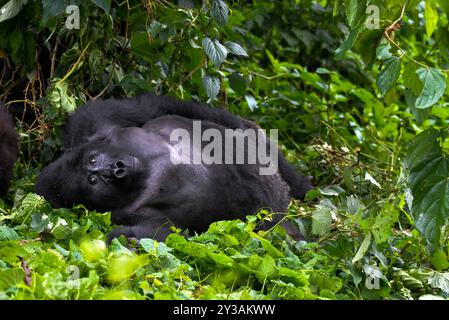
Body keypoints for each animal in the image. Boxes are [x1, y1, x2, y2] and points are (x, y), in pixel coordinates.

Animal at [36, 94, 312, 241]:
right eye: (93, 180)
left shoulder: (100, 129)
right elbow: (151, 236)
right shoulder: (129, 214)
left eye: (93, 161)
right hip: (274, 223)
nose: (116, 169)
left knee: (247, 131)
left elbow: (156, 106)